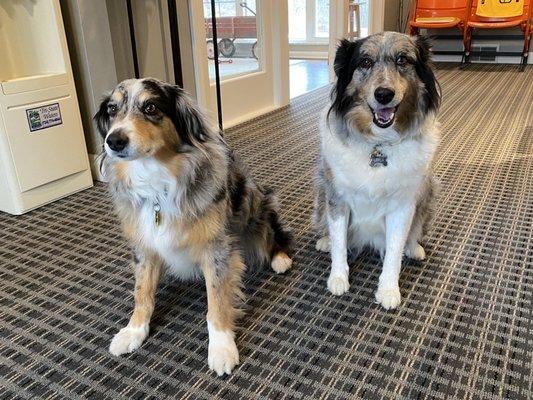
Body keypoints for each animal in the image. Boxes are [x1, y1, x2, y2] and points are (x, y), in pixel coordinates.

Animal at [314, 32, 438, 310]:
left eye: (403, 60)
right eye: (365, 62)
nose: (383, 94)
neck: (377, 144)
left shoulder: (403, 206)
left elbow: (394, 251)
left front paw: (389, 290)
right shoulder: (337, 197)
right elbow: (339, 242)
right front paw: (338, 278)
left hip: (427, 190)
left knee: (412, 234)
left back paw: (414, 248)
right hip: (320, 192)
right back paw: (324, 241)